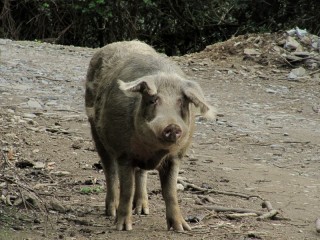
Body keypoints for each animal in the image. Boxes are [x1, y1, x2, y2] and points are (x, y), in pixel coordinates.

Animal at [84, 40, 215, 232]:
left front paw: (182, 229)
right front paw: (123, 228)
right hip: (95, 130)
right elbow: (127, 189)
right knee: (109, 170)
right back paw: (111, 212)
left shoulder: (176, 157)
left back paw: (143, 210)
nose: (172, 126)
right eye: (153, 100)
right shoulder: (124, 154)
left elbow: (170, 192)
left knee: (141, 173)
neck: (155, 152)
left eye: (181, 102)